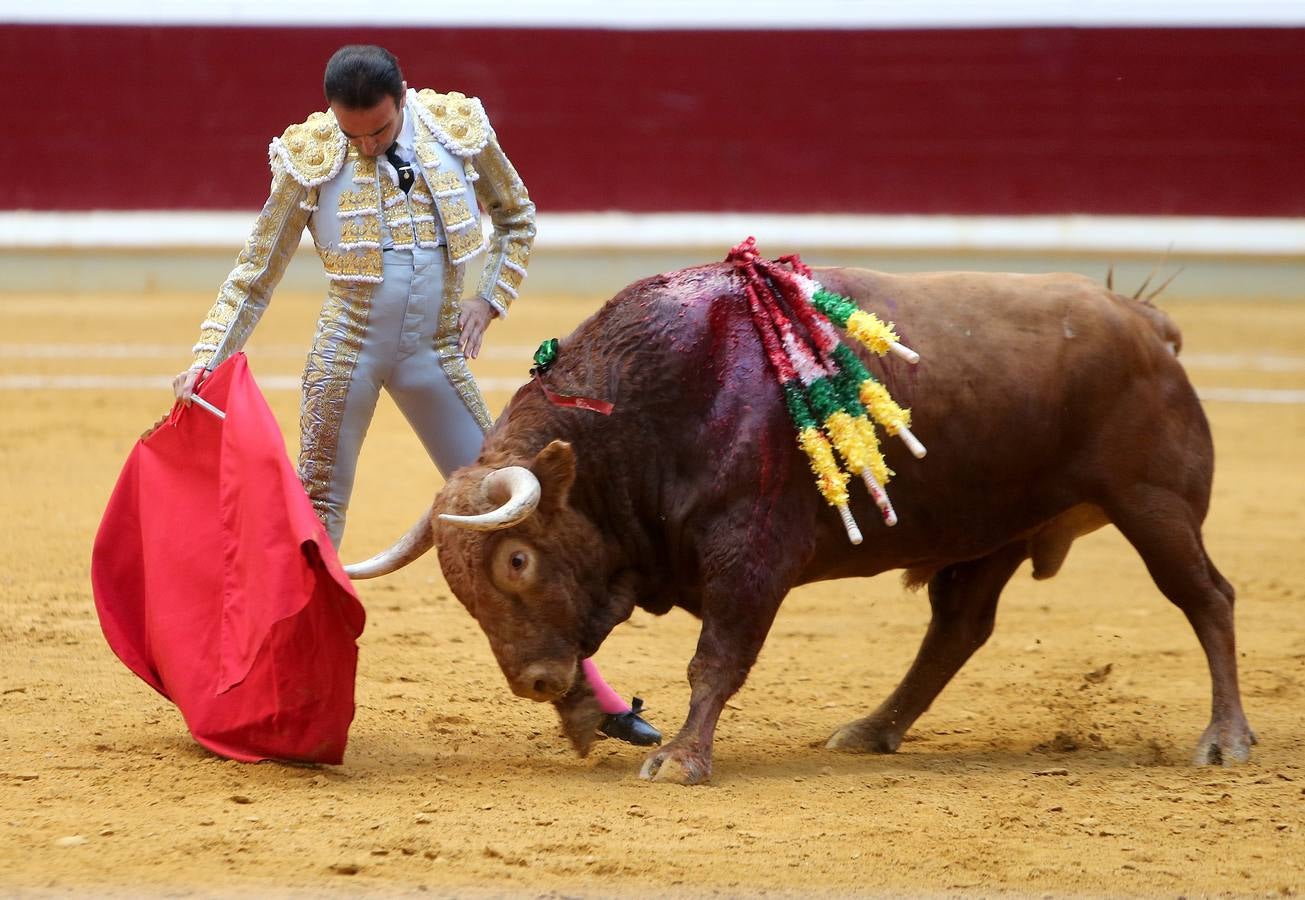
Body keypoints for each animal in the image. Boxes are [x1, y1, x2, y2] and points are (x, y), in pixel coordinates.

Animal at [347, 258, 1252, 777]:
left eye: (516, 561)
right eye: (457, 586)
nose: (532, 681)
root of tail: (1142, 322)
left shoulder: (750, 560)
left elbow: (715, 660)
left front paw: (680, 759)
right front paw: (584, 717)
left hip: (1153, 505)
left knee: (1204, 597)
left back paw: (1224, 741)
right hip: (994, 525)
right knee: (958, 627)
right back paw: (874, 730)